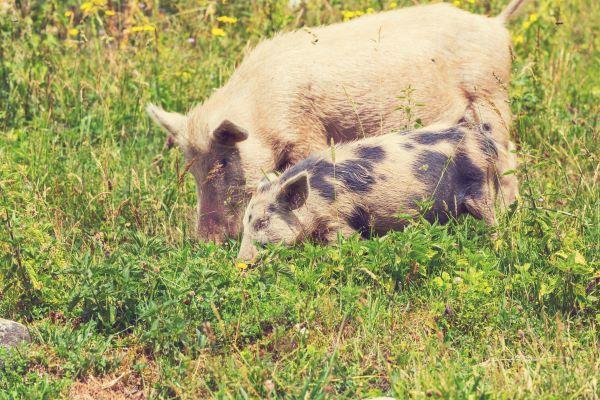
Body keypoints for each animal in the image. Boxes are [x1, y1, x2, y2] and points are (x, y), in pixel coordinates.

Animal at [148, 0, 532, 241]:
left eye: (224, 161)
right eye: (192, 168)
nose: (205, 241)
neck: (263, 111)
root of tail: (494, 24)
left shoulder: (307, 130)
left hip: (490, 94)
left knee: (507, 153)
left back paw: (510, 210)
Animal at [237, 122, 500, 260]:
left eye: (262, 222)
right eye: (245, 223)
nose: (241, 262)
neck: (316, 199)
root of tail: (481, 140)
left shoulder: (338, 218)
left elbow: (346, 241)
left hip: (480, 187)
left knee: (493, 220)